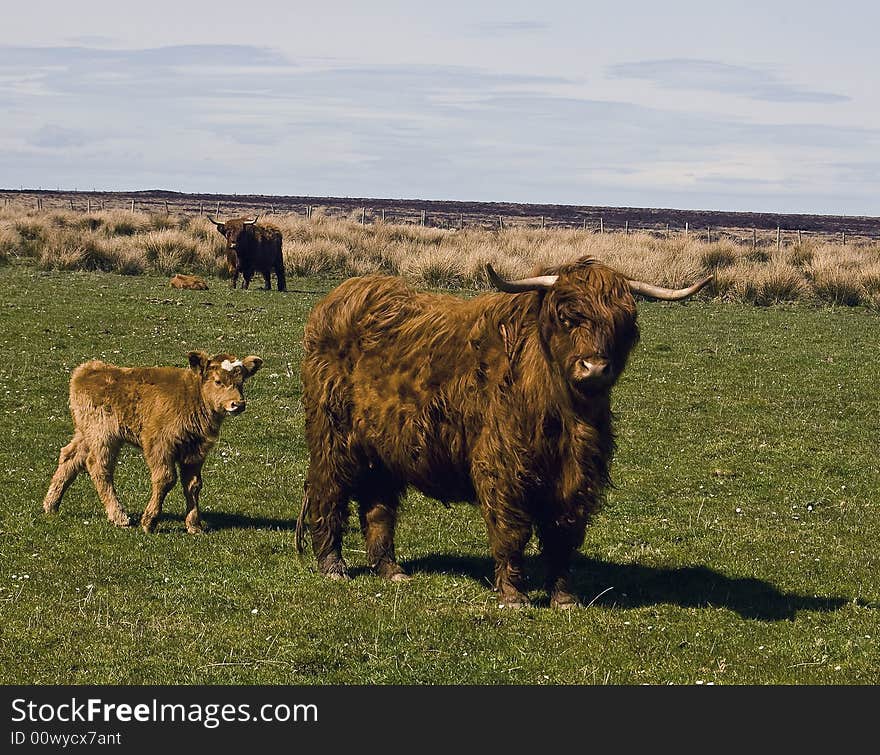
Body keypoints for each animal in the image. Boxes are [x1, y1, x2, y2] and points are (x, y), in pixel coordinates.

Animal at [42, 352, 262, 536]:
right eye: (217, 381)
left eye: (241, 382)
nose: (238, 404)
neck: (191, 396)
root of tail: (88, 369)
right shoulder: (159, 444)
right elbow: (166, 479)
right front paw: (149, 521)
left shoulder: (195, 451)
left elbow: (193, 485)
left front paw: (194, 525)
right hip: (103, 436)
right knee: (98, 466)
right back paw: (119, 516)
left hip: (86, 433)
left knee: (69, 457)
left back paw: (51, 504)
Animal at [300, 258, 712, 608]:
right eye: (567, 317)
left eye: (621, 323)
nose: (594, 367)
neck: (564, 412)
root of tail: (343, 295)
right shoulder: (502, 465)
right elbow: (511, 529)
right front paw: (514, 595)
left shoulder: (577, 474)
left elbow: (563, 534)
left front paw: (564, 597)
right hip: (333, 436)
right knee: (328, 491)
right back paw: (333, 565)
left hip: (384, 447)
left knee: (378, 506)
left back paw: (391, 569)